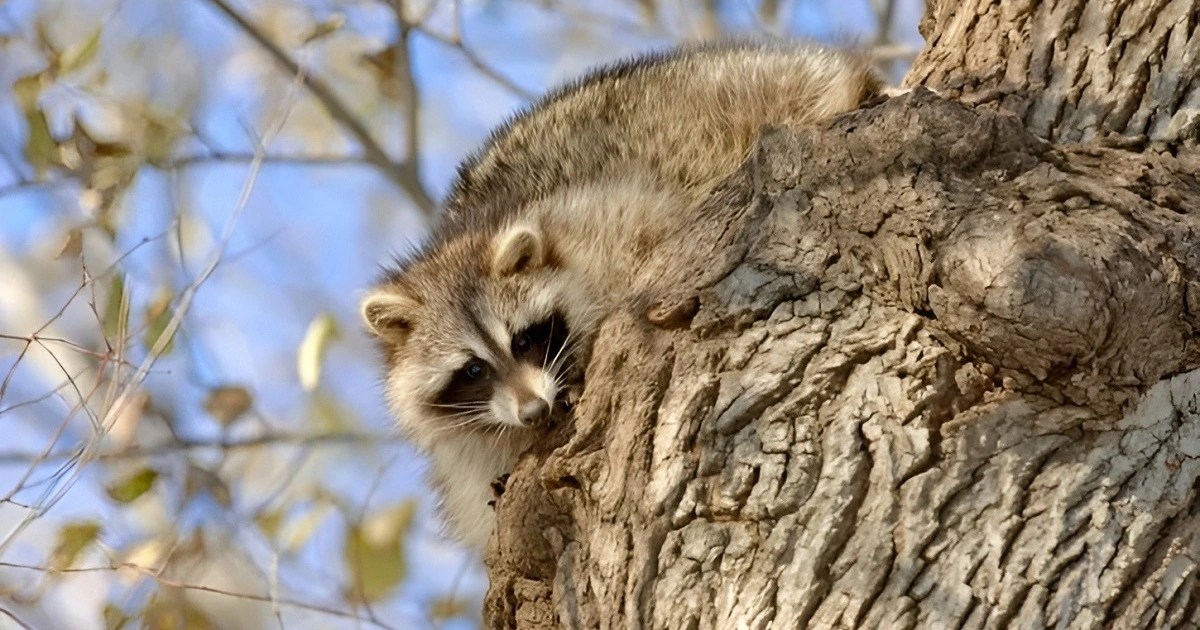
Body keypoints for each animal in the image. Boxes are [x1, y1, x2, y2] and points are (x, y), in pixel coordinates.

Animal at [361, 42, 884, 549]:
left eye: (524, 339)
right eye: (472, 369)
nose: (535, 411)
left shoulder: (605, 218)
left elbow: (644, 237)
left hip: (743, 92)